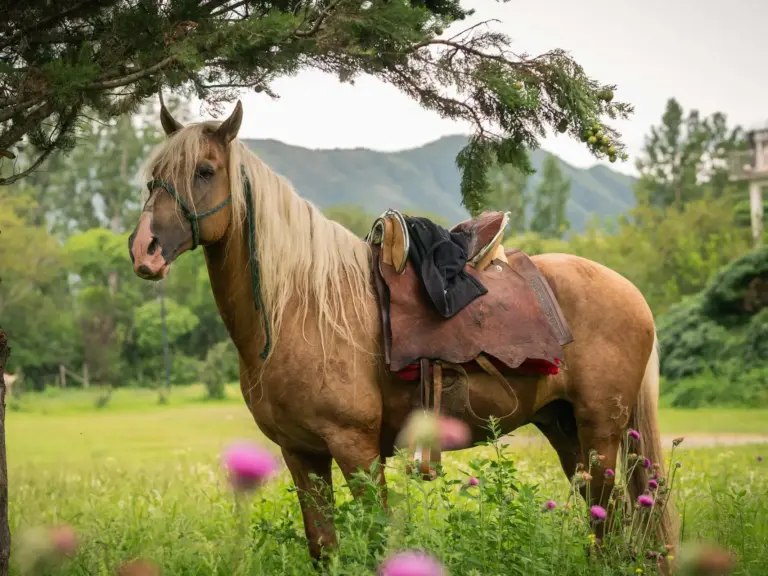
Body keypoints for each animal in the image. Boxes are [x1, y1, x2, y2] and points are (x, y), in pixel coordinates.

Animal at [127, 101, 677, 562]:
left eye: (204, 171)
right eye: (153, 179)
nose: (144, 251)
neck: (298, 310)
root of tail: (630, 291)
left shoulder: (356, 449)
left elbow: (375, 540)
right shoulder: (301, 453)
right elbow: (323, 546)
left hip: (600, 431)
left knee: (611, 519)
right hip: (564, 428)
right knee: (608, 517)